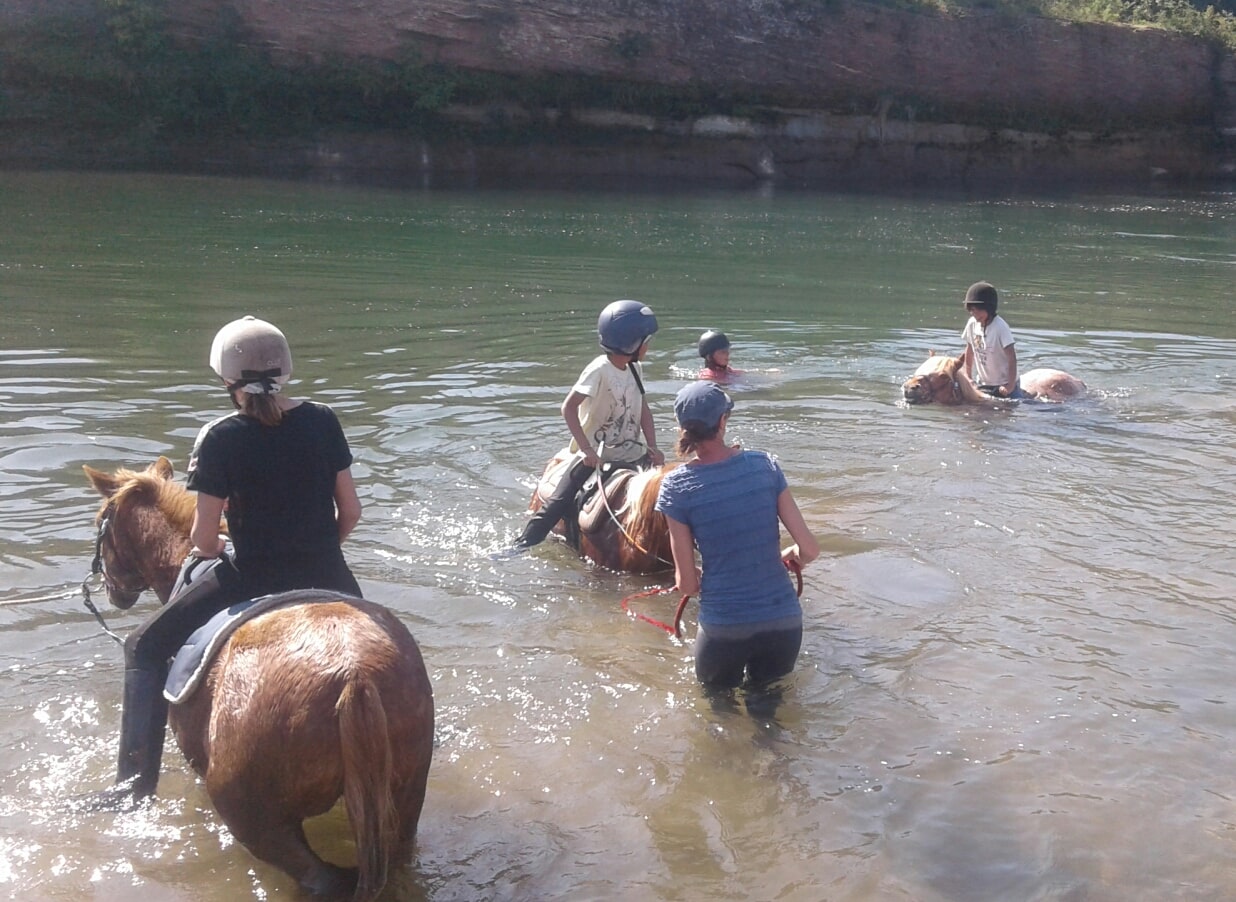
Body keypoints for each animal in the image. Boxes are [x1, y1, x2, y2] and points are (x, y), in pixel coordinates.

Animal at [83, 457, 434, 902]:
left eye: (101, 522)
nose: (112, 591)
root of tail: (354, 676)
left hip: (255, 817)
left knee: (317, 876)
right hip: (403, 799)